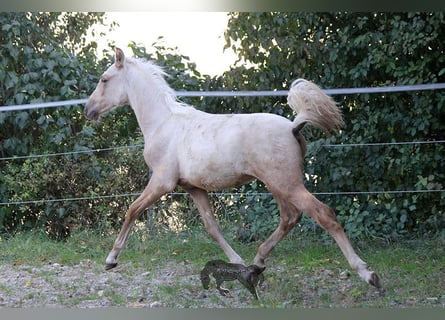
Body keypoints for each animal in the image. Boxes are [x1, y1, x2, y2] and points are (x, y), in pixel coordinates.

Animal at [85, 48, 380, 290]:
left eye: (104, 79)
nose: (88, 110)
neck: (164, 124)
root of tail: (294, 126)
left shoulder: (162, 181)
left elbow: (132, 210)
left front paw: (110, 259)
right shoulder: (193, 188)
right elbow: (212, 227)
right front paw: (236, 262)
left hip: (287, 184)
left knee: (323, 214)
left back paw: (368, 274)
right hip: (278, 185)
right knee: (290, 218)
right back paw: (257, 264)